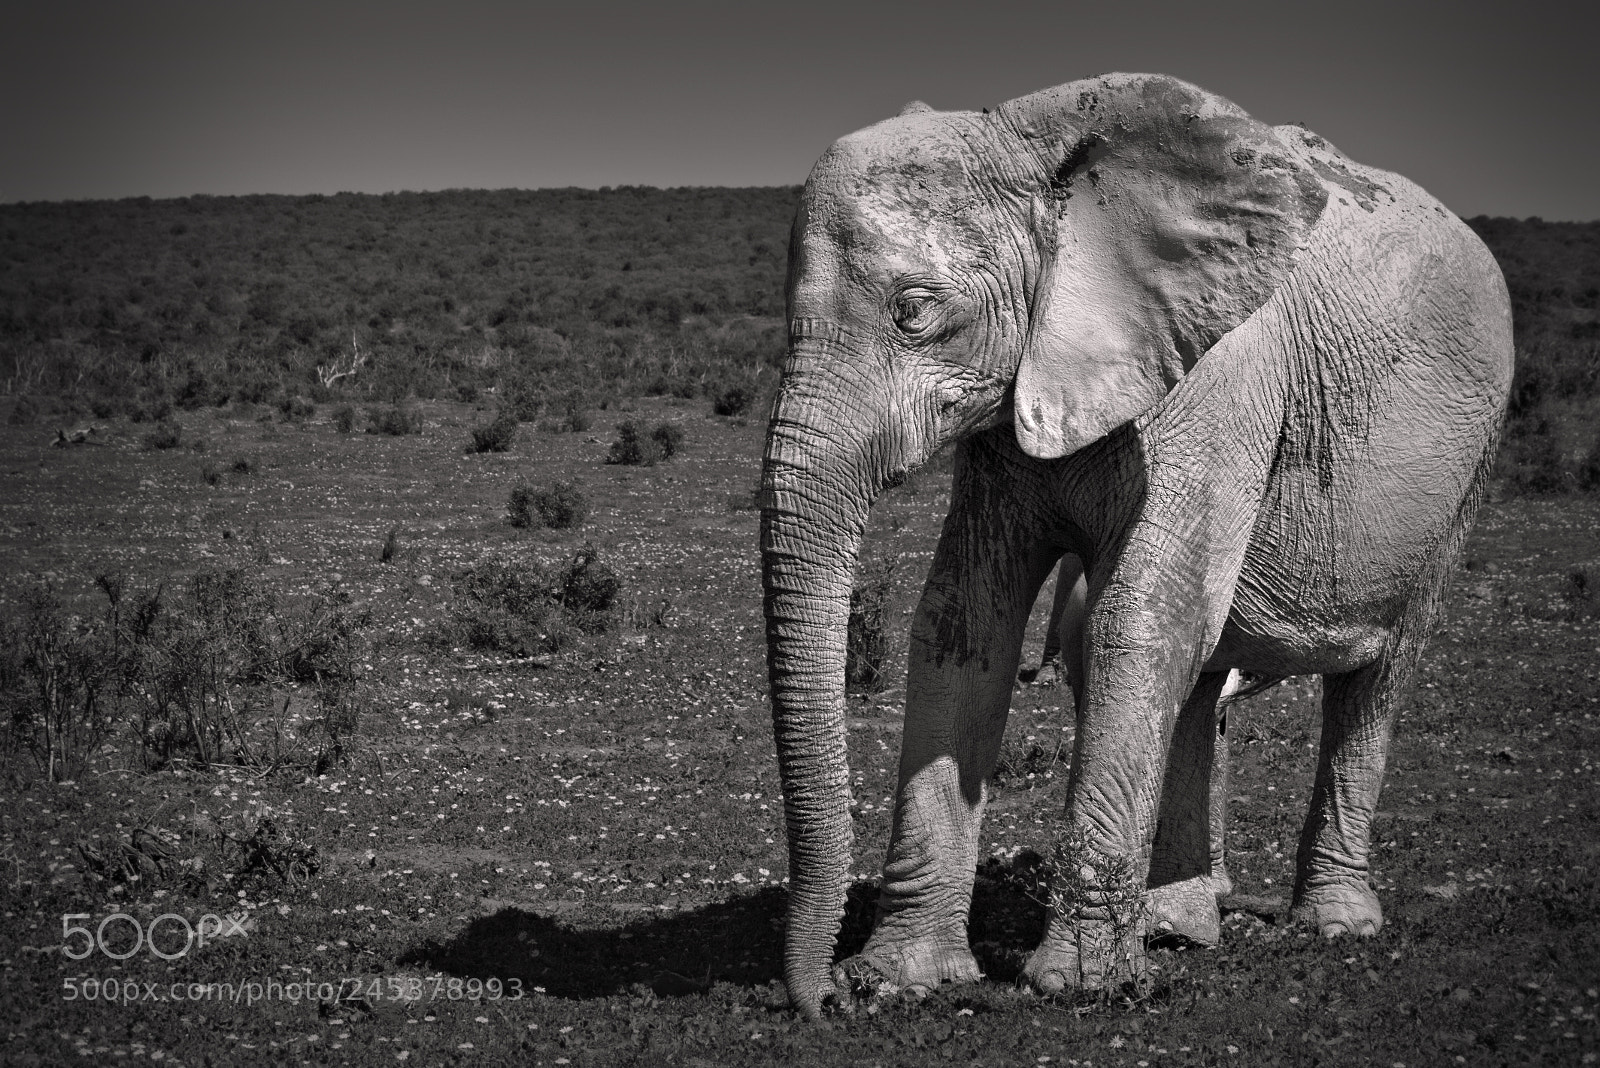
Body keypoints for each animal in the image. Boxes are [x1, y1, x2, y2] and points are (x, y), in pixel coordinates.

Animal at [759, 72, 1513, 1019]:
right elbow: (960, 625)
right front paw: (903, 978)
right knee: (1199, 677)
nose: (820, 1000)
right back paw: (1176, 929)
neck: (1040, 150)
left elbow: (1136, 620)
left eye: (915, 314)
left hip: (1468, 470)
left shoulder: (1223, 377)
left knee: (1377, 680)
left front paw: (1076, 987)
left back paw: (1334, 925)